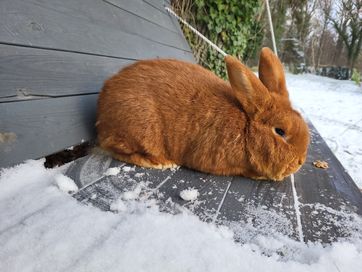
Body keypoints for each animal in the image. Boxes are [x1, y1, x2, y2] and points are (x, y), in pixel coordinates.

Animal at [95, 47, 308, 181]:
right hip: (138, 130)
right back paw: (160, 163)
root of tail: (101, 110)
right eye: (280, 131)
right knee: (115, 149)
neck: (246, 127)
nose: (300, 162)